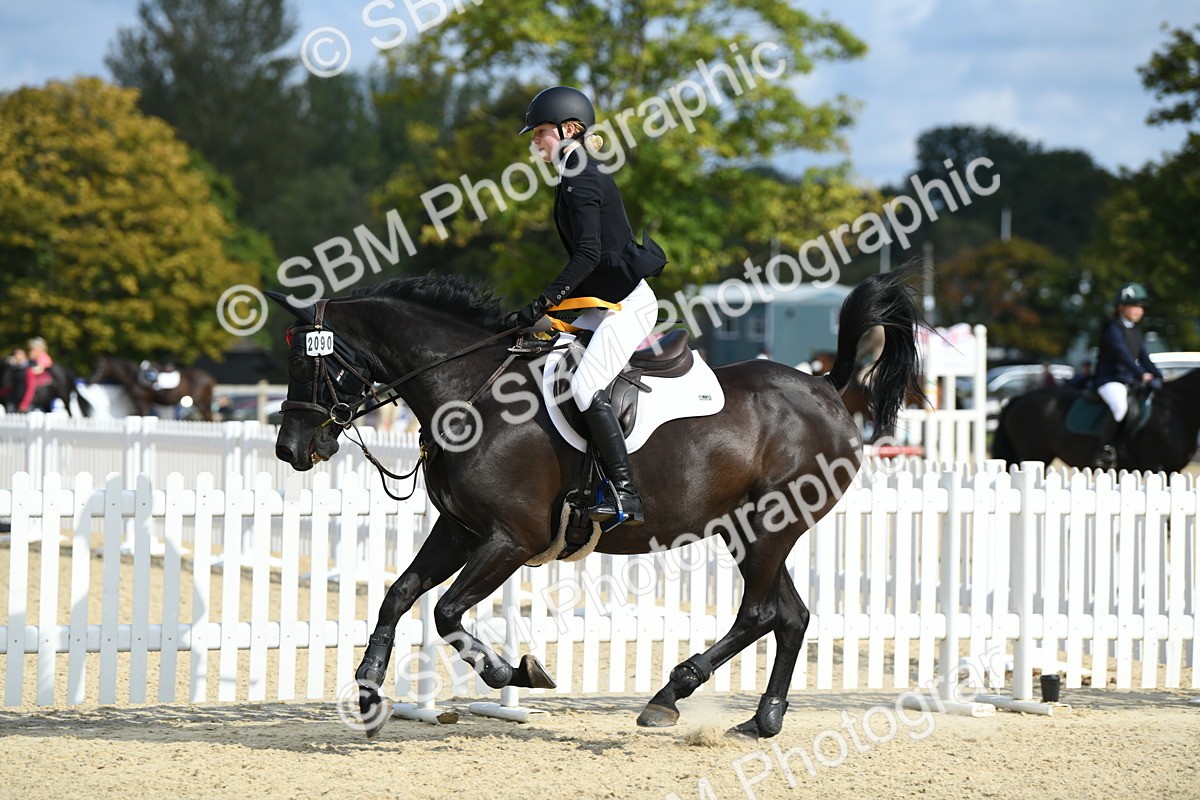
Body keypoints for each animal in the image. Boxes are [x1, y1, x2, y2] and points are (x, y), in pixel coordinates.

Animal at [270, 266, 925, 740]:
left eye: (308, 361)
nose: (291, 450)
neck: (471, 392)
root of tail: (825, 388)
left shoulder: (511, 540)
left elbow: (447, 612)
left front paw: (516, 672)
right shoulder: (460, 530)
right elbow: (399, 595)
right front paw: (367, 691)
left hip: (769, 526)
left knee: (760, 613)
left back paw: (668, 697)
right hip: (749, 530)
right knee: (790, 616)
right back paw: (761, 720)